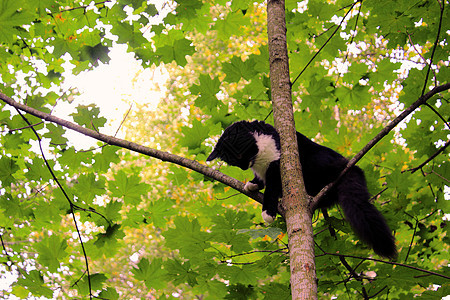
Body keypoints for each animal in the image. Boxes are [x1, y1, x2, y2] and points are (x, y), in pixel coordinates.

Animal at [207, 120, 398, 258]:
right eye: (232, 162)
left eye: (239, 154)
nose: (243, 167)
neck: (259, 157)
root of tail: (349, 166)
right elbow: (261, 181)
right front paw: (252, 184)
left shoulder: (276, 163)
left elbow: (271, 188)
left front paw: (268, 212)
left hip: (317, 161)